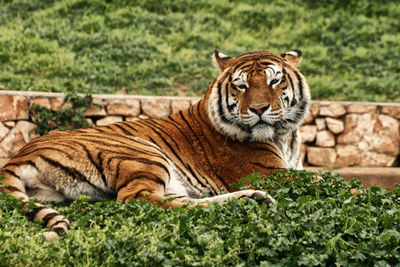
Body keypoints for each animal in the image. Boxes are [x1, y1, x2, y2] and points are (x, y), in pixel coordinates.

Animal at [0, 49, 310, 242]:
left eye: (275, 81)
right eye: (241, 86)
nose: (258, 109)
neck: (285, 136)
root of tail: (19, 154)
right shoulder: (271, 173)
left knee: (180, 202)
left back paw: (251, 200)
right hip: (144, 152)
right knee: (138, 200)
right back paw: (249, 202)